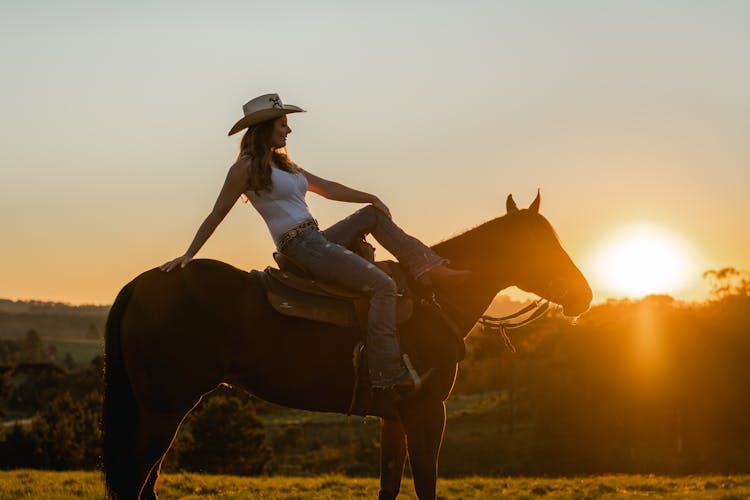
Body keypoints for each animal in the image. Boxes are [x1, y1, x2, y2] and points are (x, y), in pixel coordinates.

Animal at [101, 192, 592, 500]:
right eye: (538, 244)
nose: (583, 295)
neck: (432, 298)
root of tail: (143, 284)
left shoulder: (395, 417)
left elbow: (390, 486)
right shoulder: (427, 412)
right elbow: (426, 486)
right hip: (164, 410)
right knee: (135, 484)